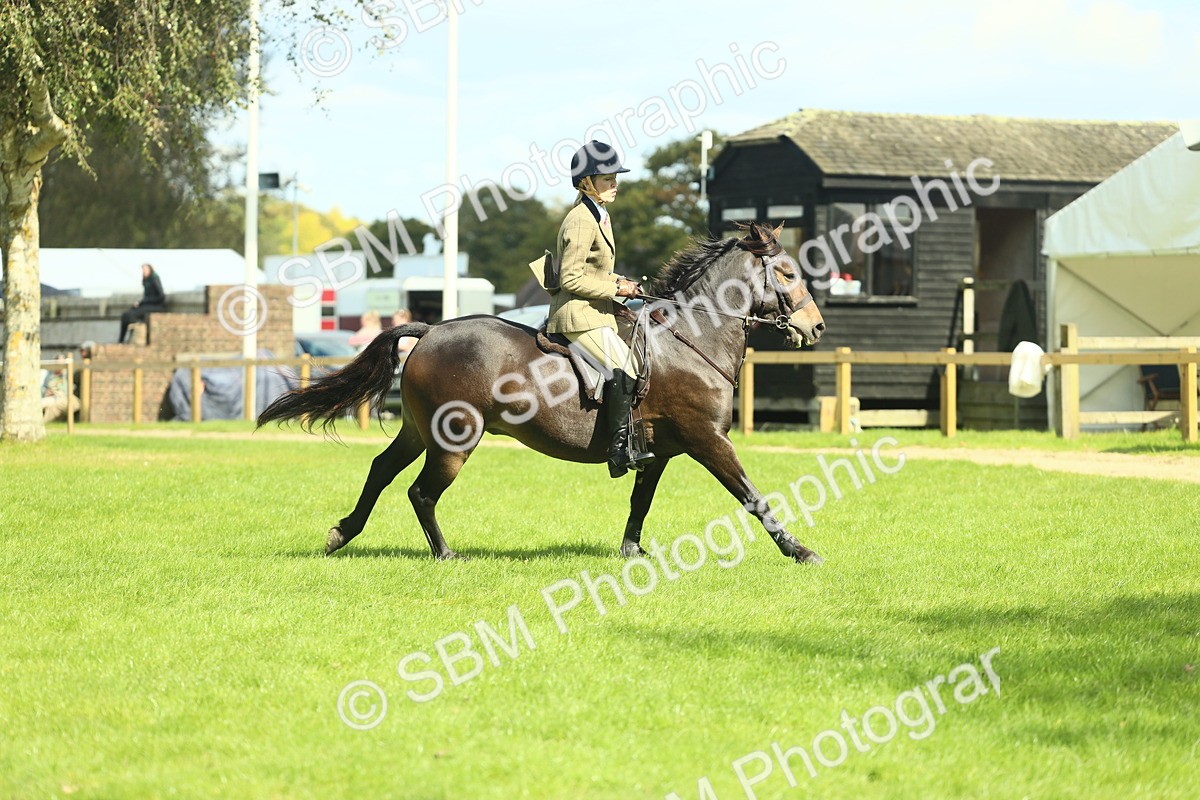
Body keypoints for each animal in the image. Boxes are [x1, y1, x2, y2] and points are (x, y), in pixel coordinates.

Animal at [257, 222, 827, 564]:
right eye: (787, 272)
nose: (816, 327)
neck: (692, 336)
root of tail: (431, 330)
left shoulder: (662, 449)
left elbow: (640, 501)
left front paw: (632, 552)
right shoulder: (708, 440)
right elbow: (753, 496)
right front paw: (799, 551)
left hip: (419, 430)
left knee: (380, 470)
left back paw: (343, 534)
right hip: (455, 439)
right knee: (420, 492)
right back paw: (445, 555)